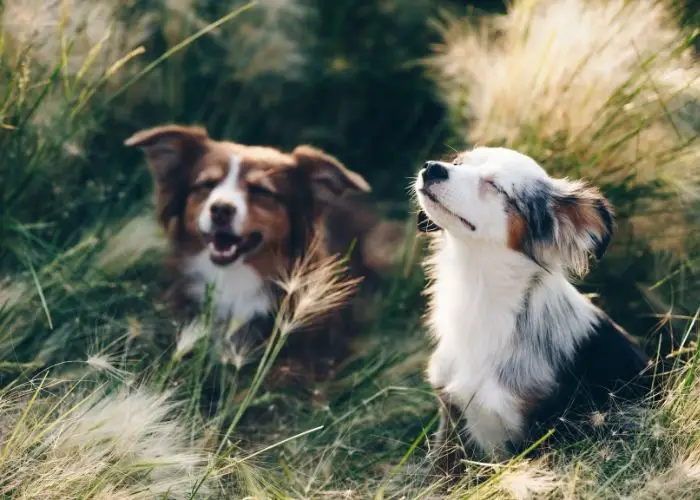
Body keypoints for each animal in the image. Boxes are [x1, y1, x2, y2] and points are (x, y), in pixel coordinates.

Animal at [412, 146, 652, 474]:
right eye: (458, 162)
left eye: (495, 186)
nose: (432, 168)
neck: (477, 291)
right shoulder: (451, 422)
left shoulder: (536, 435)